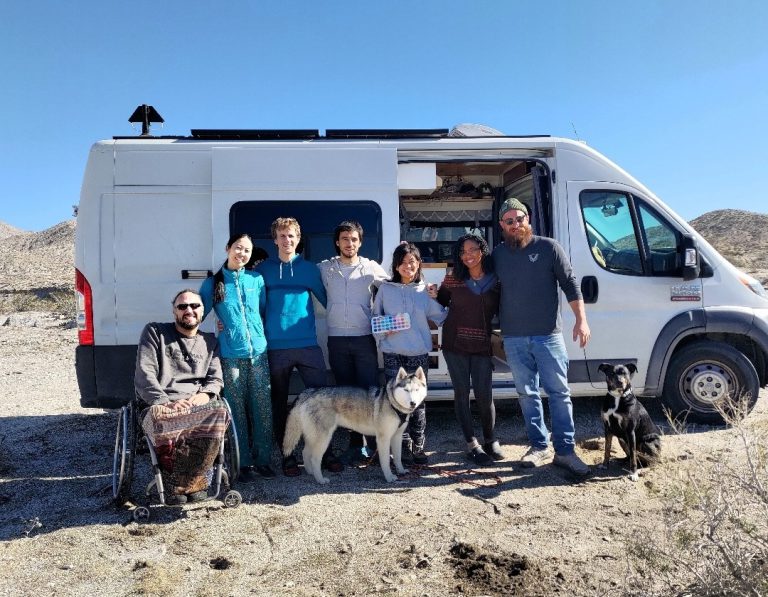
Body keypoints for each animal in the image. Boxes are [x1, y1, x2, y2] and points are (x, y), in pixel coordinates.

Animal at [284, 366, 428, 482]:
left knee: (305, 452)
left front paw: (401, 471)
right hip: (323, 438)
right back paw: (320, 479)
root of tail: (308, 392)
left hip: (313, 436)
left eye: (416, 390)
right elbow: (386, 461)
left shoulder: (397, 437)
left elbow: (397, 458)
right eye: (406, 390)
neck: (392, 402)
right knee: (314, 458)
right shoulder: (383, 439)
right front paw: (389, 477)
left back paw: (310, 472)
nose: (413, 403)